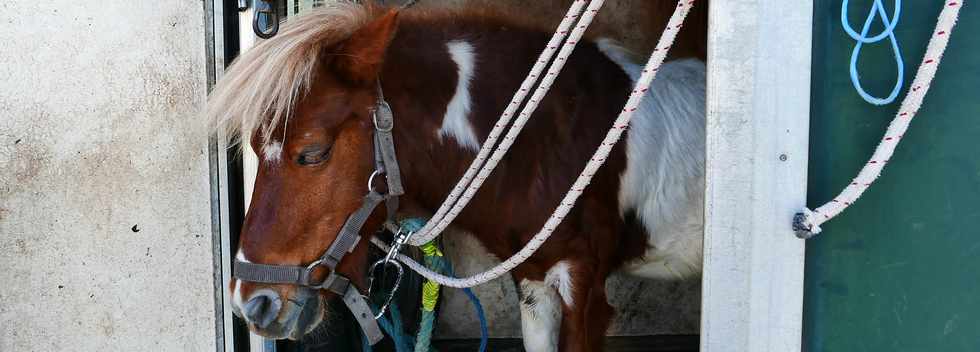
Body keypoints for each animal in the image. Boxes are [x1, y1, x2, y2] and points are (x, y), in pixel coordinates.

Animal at [209, 2, 704, 350]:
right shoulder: (533, 282)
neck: (549, 138)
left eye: (313, 152)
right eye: (256, 149)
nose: (251, 302)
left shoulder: (582, 290)